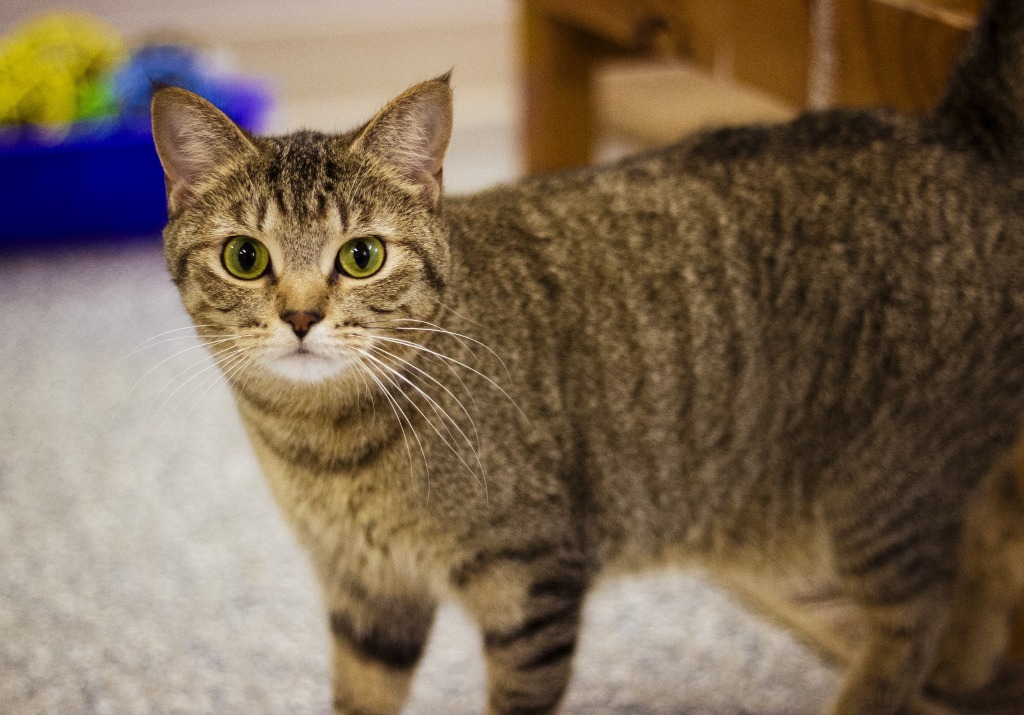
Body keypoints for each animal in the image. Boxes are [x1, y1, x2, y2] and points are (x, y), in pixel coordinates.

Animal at [151, 2, 1024, 708]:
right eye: (245, 257)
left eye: (361, 256)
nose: (300, 315)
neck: (325, 447)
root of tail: (950, 129)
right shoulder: (367, 596)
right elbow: (361, 698)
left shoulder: (531, 580)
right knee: (993, 541)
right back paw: (967, 669)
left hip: (885, 494)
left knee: (916, 618)